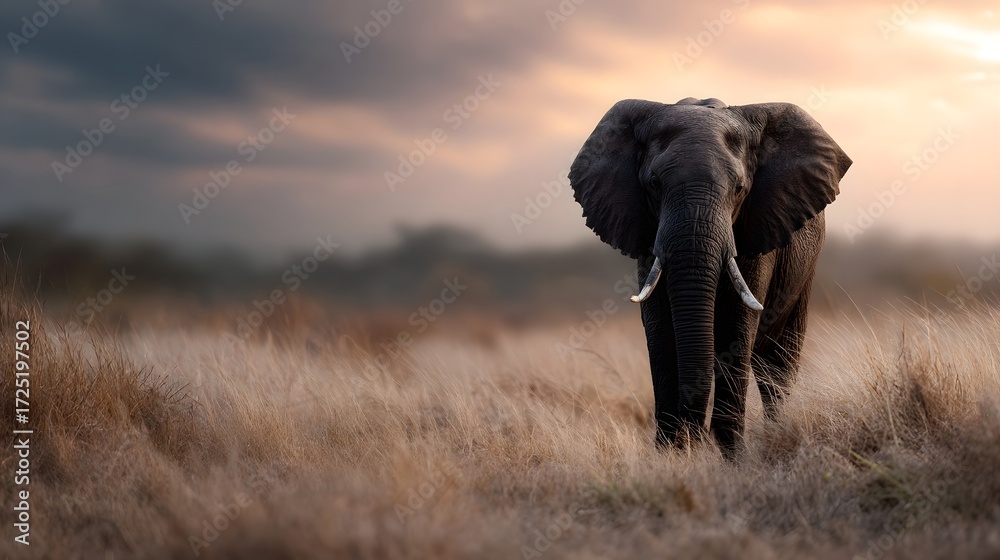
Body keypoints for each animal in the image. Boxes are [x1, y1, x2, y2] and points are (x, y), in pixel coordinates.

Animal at [568, 97, 851, 457]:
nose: (696, 437)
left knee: (777, 365)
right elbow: (660, 332)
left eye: (740, 188)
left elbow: (736, 325)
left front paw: (733, 458)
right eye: (654, 185)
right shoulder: (649, 238)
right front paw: (669, 455)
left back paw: (776, 432)